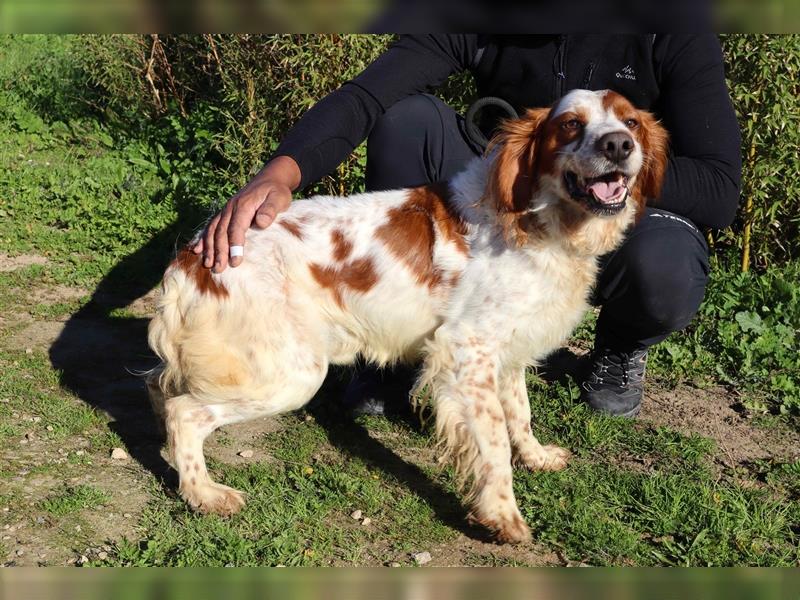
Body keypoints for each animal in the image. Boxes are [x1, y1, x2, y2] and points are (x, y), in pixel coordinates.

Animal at [147, 88, 664, 544]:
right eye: (571, 124)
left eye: (631, 122)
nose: (619, 144)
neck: (536, 220)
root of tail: (191, 256)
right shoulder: (466, 352)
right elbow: (495, 440)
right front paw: (503, 514)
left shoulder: (508, 348)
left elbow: (520, 413)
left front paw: (535, 456)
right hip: (291, 373)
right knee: (183, 411)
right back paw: (204, 493)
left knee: (162, 393)